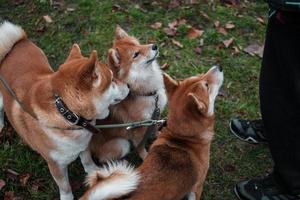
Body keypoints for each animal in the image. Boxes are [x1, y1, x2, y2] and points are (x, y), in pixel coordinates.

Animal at [0, 21, 128, 200]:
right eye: (112, 80)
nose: (128, 85)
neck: (67, 114)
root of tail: (15, 44)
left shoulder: (84, 145)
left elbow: (87, 160)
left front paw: (95, 172)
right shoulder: (55, 165)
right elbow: (65, 185)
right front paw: (67, 197)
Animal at [81, 66, 224, 200]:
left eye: (199, 75)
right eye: (206, 86)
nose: (219, 67)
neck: (181, 137)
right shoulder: (197, 187)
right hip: (122, 144)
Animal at [89, 26, 168, 161]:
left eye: (139, 44)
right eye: (135, 54)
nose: (155, 46)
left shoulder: (153, 118)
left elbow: (154, 129)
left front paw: (159, 135)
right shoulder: (137, 130)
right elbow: (141, 147)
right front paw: (146, 157)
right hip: (122, 144)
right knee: (104, 159)